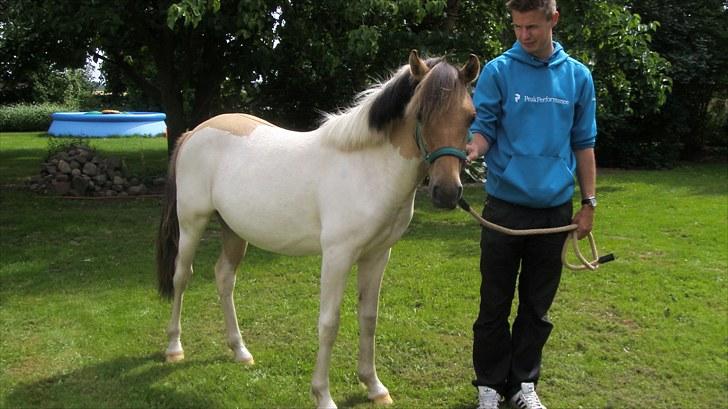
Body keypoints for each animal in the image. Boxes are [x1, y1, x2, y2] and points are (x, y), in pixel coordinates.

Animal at [156, 51, 480, 408]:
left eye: (470, 117)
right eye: (421, 113)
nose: (447, 192)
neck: (368, 168)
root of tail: (192, 133)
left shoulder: (378, 255)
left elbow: (369, 318)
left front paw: (374, 386)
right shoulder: (338, 256)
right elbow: (329, 323)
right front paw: (323, 395)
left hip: (233, 231)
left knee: (224, 278)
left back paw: (240, 351)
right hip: (192, 223)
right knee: (181, 277)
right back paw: (174, 348)